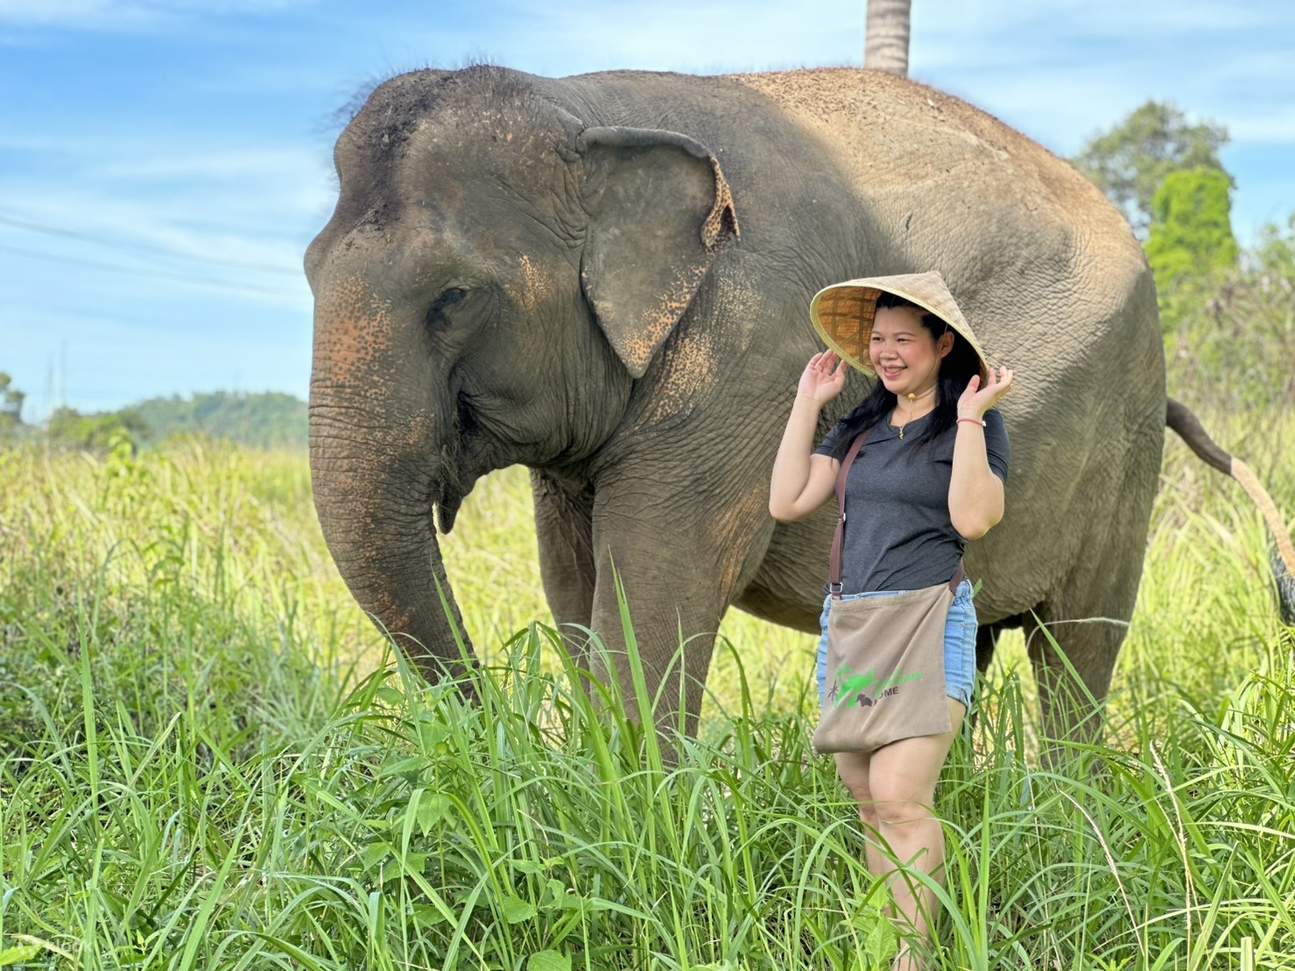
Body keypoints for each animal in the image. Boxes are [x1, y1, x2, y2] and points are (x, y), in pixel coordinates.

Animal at [304, 61, 1295, 752]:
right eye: (309, 271)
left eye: (454, 297)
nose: (485, 734)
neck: (584, 106)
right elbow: (575, 581)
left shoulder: (746, 357)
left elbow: (658, 579)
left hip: (1122, 449)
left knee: (1078, 646)